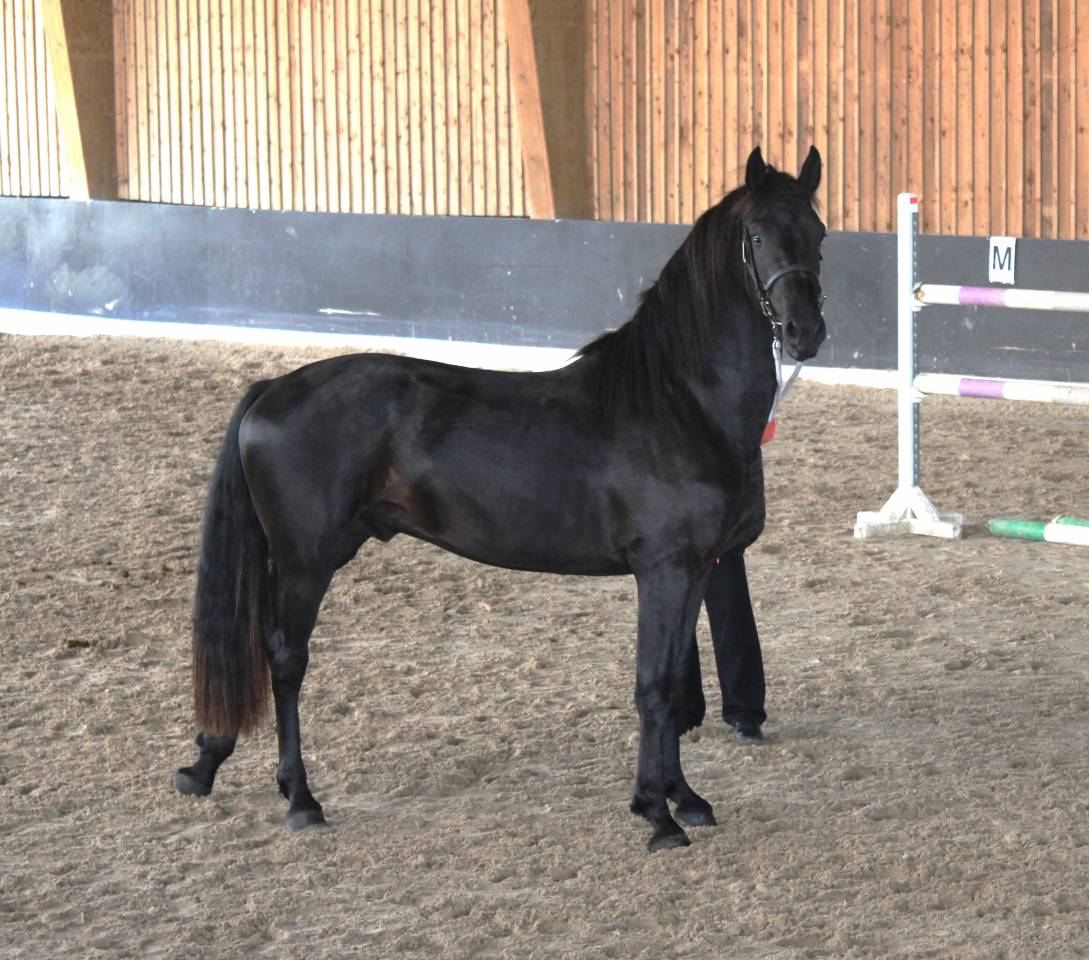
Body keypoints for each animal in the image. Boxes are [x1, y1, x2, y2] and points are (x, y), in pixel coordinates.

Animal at [174, 145, 827, 851]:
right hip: (305, 563)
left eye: (819, 234)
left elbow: (675, 682)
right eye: (756, 235)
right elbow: (654, 687)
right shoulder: (663, 570)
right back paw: (300, 798)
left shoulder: (697, 570)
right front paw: (657, 815)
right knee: (285, 660)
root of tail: (272, 388)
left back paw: (210, 765)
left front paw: (685, 799)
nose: (805, 331)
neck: (679, 402)